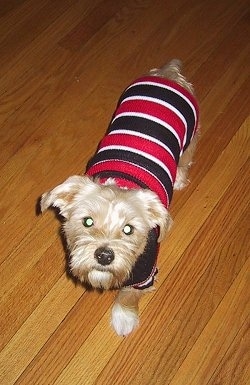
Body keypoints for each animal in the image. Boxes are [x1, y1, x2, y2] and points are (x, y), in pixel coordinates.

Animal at [40, 58, 199, 334]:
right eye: (87, 221)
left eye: (128, 229)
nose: (104, 255)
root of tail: (168, 74)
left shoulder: (144, 275)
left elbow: (128, 295)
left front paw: (124, 318)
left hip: (191, 134)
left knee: (187, 156)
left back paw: (179, 177)